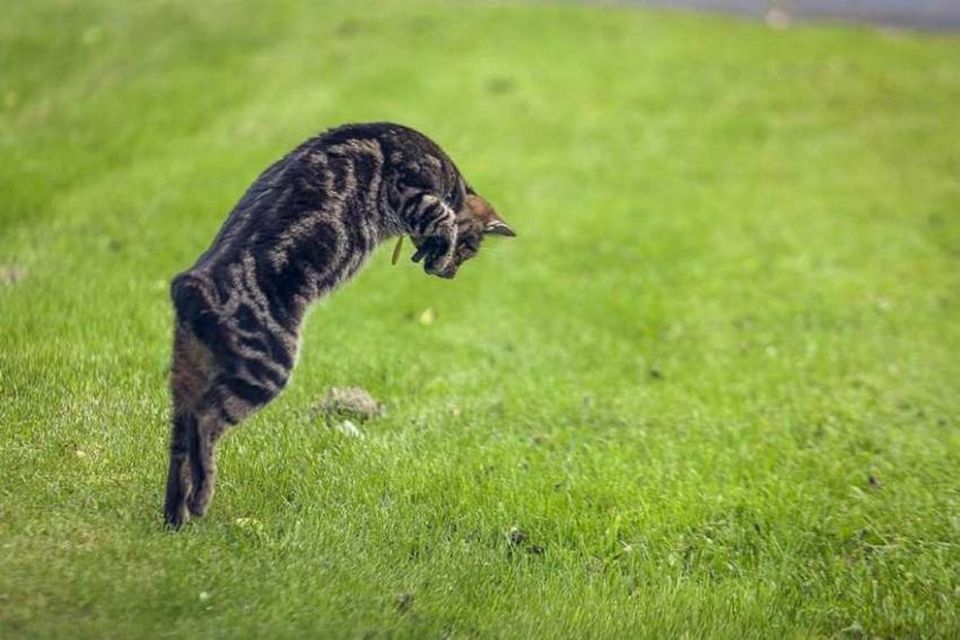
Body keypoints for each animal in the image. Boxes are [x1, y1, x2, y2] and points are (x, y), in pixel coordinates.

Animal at [163, 122, 516, 528]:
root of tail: (191, 285)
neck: (454, 182)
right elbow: (443, 217)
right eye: (470, 250)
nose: (449, 275)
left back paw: (176, 517)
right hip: (265, 370)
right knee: (204, 424)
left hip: (187, 381)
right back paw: (201, 499)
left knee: (181, 444)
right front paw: (444, 244)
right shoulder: (413, 191)